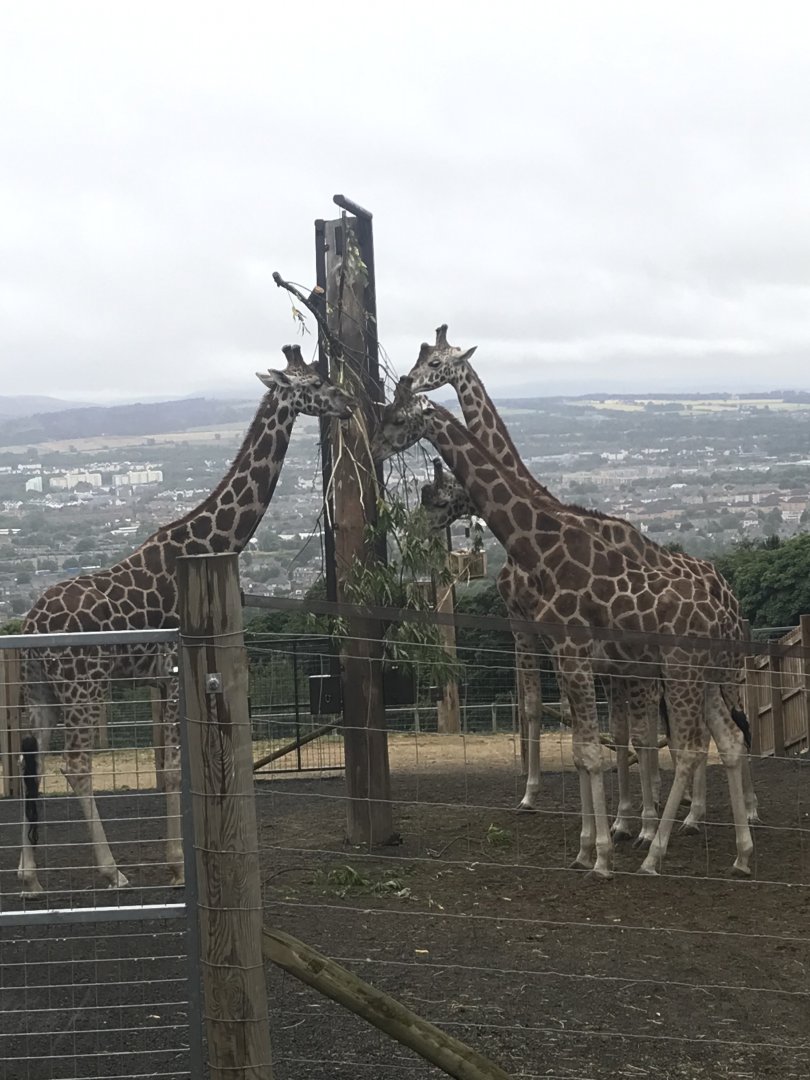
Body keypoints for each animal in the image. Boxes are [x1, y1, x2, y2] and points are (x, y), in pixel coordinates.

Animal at [18, 346, 354, 897]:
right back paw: (112, 871)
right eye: (312, 384)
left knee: (32, 759)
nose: (347, 403)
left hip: (40, 688)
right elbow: (176, 769)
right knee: (75, 767)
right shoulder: (177, 669)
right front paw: (178, 865)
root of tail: (29, 628)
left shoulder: (163, 677)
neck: (203, 543)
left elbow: (177, 765)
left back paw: (31, 878)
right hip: (84, 686)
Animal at [372, 380, 755, 879]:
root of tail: (724, 611)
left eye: (398, 418)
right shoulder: (565, 655)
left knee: (692, 746)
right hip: (701, 675)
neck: (544, 550)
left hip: (685, 671)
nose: (375, 447)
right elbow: (580, 747)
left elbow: (594, 750)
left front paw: (604, 855)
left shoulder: (574, 653)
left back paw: (657, 852)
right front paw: (586, 847)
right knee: (728, 738)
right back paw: (740, 854)